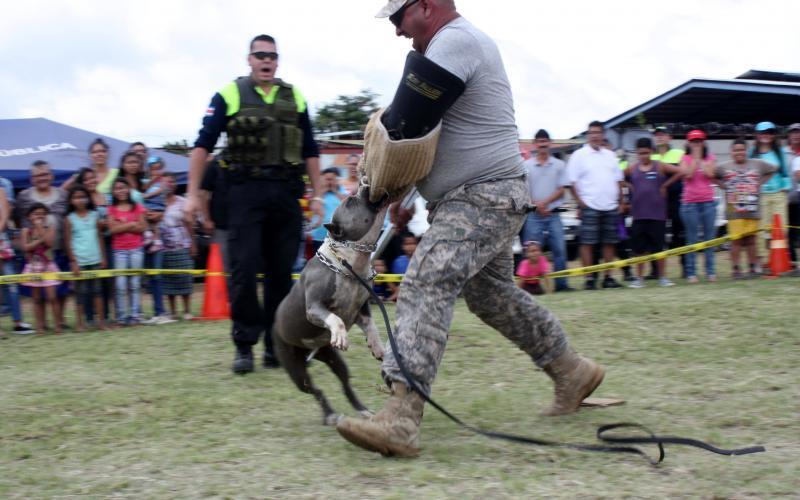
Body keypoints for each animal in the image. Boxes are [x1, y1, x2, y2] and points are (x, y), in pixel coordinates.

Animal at [274, 188, 390, 426]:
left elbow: (372, 326)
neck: (348, 263)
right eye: (351, 201)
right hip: (297, 371)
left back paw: (363, 412)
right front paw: (341, 335)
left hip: (331, 357)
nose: (364, 186)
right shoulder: (314, 308)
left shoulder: (362, 309)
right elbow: (335, 318)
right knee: (316, 390)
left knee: (345, 384)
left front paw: (376, 346)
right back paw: (329, 415)